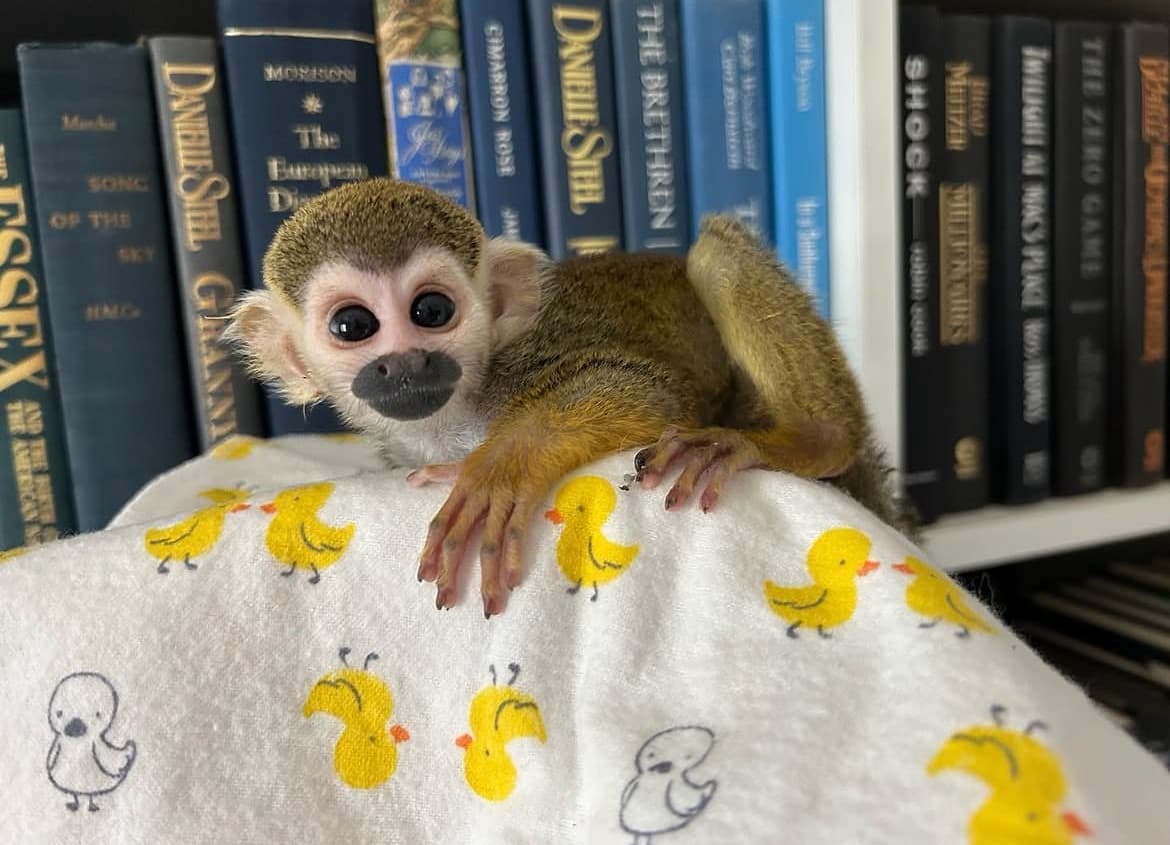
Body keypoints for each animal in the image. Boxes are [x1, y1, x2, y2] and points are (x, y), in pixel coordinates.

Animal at [225, 177, 916, 618]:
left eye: (431, 311)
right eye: (353, 326)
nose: (405, 365)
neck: (456, 414)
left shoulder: (527, 359)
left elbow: (640, 390)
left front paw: (502, 466)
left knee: (716, 253)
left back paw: (813, 438)